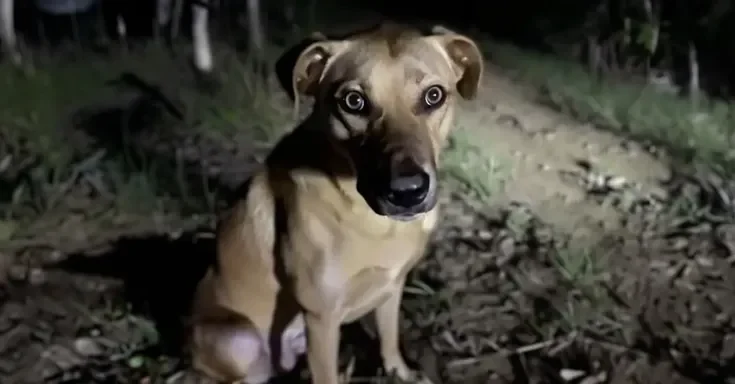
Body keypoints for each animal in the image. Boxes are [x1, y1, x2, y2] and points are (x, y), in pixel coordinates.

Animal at [187, 21, 486, 384]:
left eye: (434, 95)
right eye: (354, 101)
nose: (407, 192)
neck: (376, 224)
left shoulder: (392, 287)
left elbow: (389, 339)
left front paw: (399, 371)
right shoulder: (321, 318)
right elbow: (328, 373)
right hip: (238, 340)